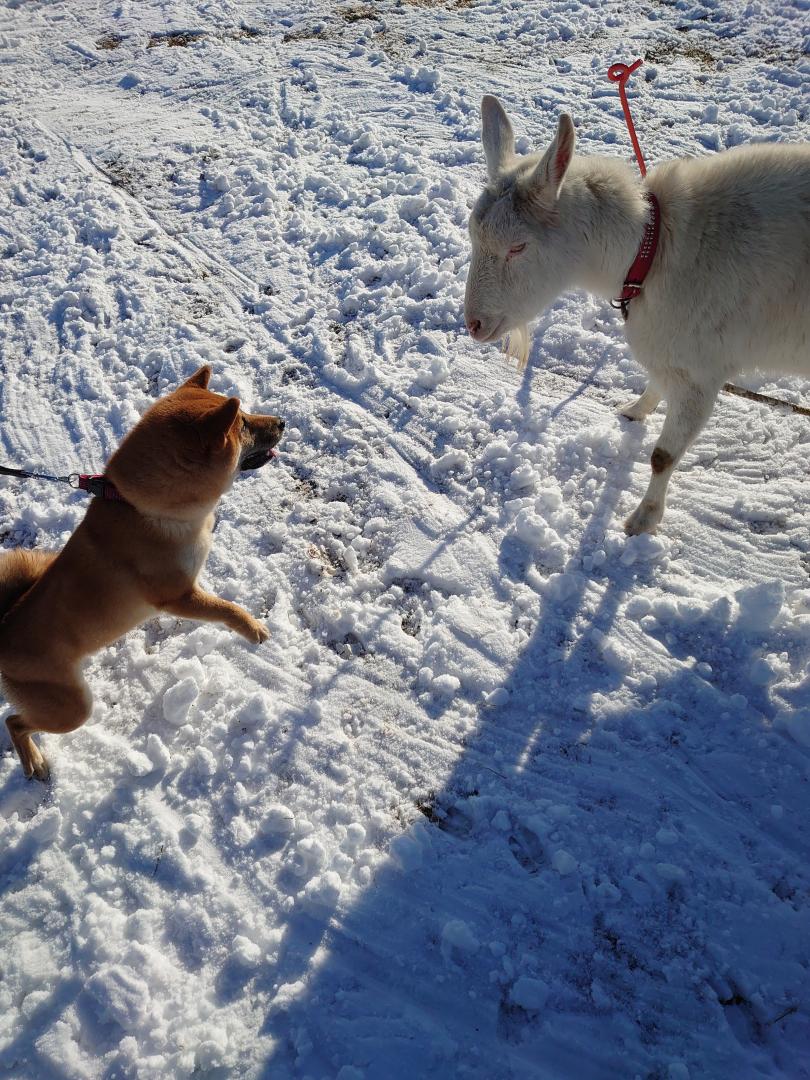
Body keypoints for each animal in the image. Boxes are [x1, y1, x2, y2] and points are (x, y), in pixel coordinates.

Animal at [0, 367, 285, 781]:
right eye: (244, 424)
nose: (282, 422)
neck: (141, 508)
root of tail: (2, 629)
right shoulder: (177, 597)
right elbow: (225, 608)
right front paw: (252, 628)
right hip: (72, 706)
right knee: (15, 722)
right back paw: (33, 760)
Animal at [462, 100, 810, 535]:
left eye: (517, 247)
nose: (473, 325)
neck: (653, 249)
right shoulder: (672, 350)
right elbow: (655, 384)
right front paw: (635, 409)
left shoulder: (703, 371)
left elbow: (663, 455)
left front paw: (642, 520)